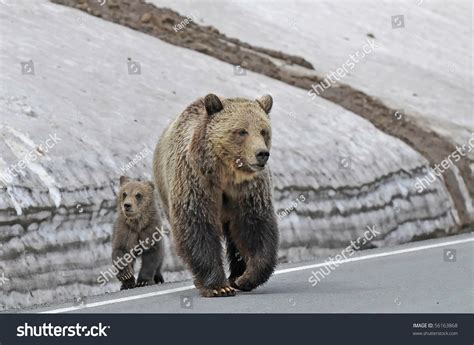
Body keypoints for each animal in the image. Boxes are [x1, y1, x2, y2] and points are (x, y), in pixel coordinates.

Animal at [153, 93, 278, 296]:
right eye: (241, 131)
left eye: (263, 131)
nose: (262, 154)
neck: (225, 174)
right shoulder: (195, 181)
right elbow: (198, 227)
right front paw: (219, 286)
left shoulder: (248, 191)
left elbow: (255, 227)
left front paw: (245, 278)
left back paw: (236, 275)